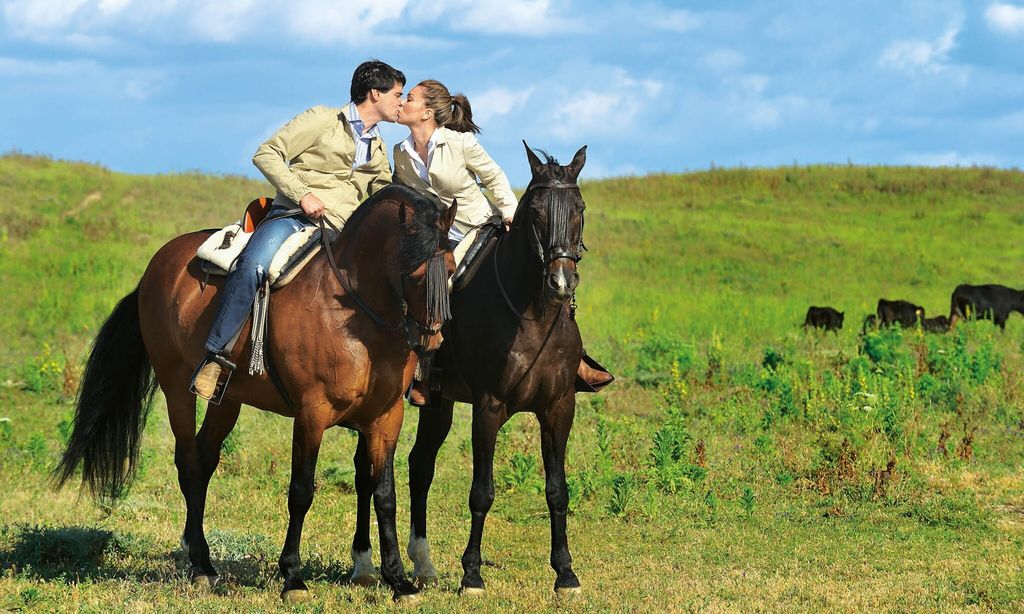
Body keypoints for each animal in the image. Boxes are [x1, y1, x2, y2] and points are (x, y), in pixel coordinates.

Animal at [55, 184, 456, 601]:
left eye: (452, 268)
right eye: (414, 272)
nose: (433, 339)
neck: (356, 317)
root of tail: (158, 265)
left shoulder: (386, 419)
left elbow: (385, 496)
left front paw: (399, 580)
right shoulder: (312, 413)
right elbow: (301, 492)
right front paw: (292, 576)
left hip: (226, 400)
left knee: (205, 458)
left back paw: (199, 555)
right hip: (176, 387)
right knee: (189, 461)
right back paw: (201, 564)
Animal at [350, 142, 589, 593]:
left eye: (579, 208)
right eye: (537, 212)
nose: (561, 283)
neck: (534, 317)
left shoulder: (559, 409)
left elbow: (558, 490)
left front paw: (566, 572)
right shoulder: (488, 407)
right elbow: (482, 492)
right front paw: (473, 574)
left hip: (437, 404)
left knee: (419, 466)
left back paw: (421, 563)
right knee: (366, 470)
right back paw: (364, 564)